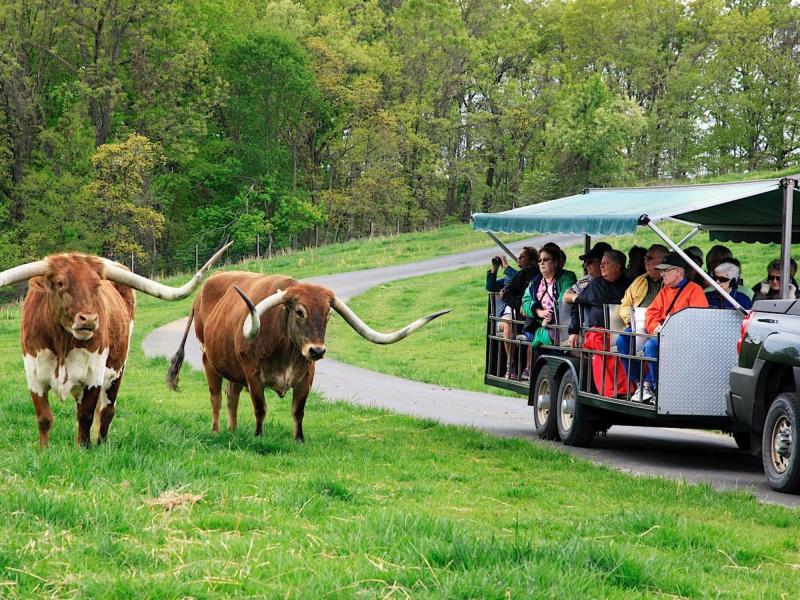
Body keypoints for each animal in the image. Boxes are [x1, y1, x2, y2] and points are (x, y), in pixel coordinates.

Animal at [0, 243, 231, 446]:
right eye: (60, 283)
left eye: (97, 286)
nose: (89, 319)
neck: (62, 343)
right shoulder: (33, 375)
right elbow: (44, 418)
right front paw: (44, 450)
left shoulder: (94, 374)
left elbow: (85, 417)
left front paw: (83, 448)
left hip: (118, 370)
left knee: (106, 412)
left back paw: (101, 444)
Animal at [166, 272, 450, 440]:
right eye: (299, 311)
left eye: (328, 314)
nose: (317, 350)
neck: (286, 349)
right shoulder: (253, 375)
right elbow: (260, 408)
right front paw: (258, 436)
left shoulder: (306, 377)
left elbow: (298, 410)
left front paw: (299, 439)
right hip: (209, 360)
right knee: (215, 396)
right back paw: (216, 431)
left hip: (233, 369)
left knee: (231, 396)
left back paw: (233, 430)